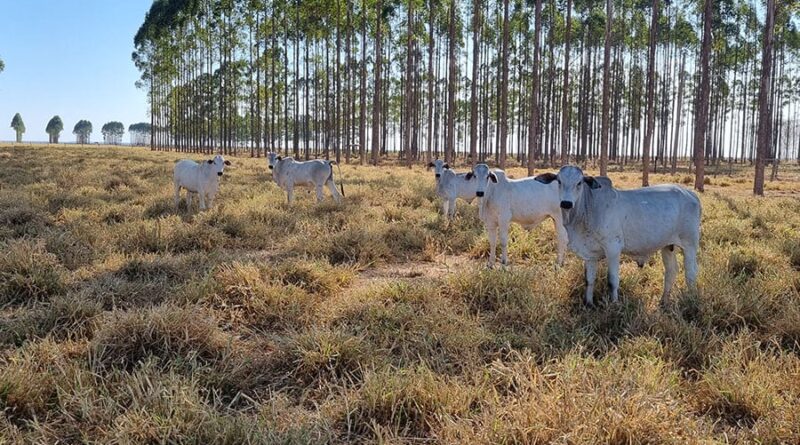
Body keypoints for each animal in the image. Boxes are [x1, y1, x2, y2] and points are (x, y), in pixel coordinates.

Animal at [535, 166, 701, 306]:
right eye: (559, 181)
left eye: (579, 183)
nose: (566, 203)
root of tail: (691, 194)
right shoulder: (590, 254)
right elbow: (589, 280)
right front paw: (589, 303)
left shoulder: (613, 248)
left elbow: (612, 281)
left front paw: (614, 305)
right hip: (667, 246)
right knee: (671, 271)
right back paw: (663, 301)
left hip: (690, 244)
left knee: (691, 273)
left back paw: (691, 300)